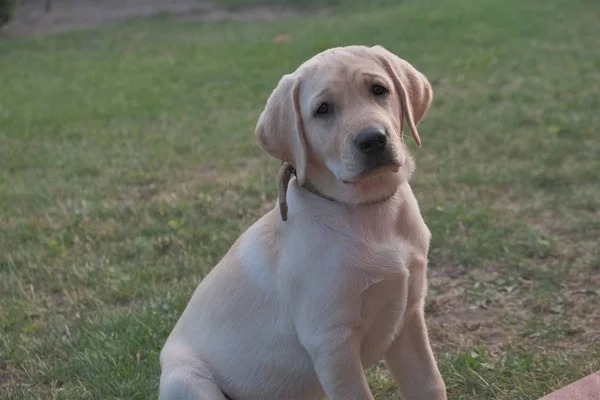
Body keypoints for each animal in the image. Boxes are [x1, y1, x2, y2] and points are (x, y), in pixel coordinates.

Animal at [159, 45, 446, 398]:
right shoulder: (331, 342)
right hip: (187, 380)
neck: (366, 211)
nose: (373, 139)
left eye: (379, 89)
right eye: (323, 110)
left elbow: (430, 383)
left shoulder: (409, 317)